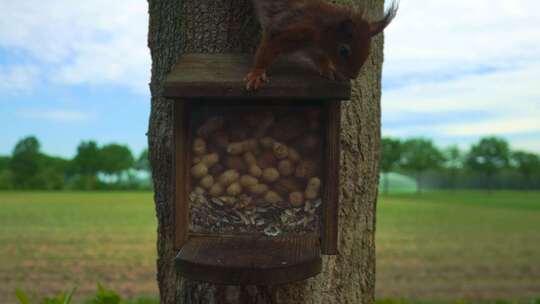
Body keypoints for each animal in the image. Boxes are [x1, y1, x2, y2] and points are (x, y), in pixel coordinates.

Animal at [247, 0, 398, 89]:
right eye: (343, 51)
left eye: (368, 52)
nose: (353, 76)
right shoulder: (286, 29)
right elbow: (267, 48)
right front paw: (257, 73)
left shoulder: (316, 49)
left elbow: (320, 59)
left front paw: (328, 69)